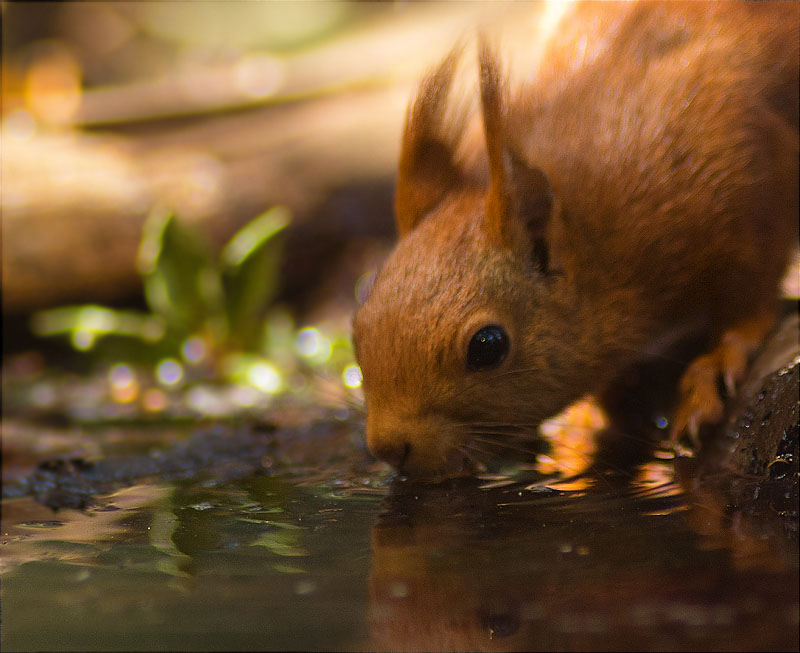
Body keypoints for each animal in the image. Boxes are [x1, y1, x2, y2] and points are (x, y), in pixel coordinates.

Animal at [354, 1, 796, 478]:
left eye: (488, 346)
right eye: (357, 327)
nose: (389, 448)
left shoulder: (742, 166)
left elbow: (753, 293)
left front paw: (715, 364)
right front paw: (582, 424)